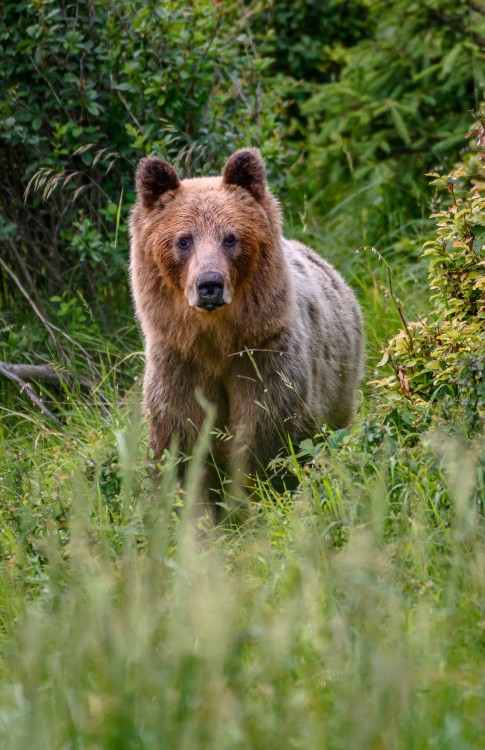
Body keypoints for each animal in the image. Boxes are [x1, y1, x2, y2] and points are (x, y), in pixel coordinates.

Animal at [129, 146, 364, 502]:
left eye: (230, 238)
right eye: (184, 240)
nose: (209, 284)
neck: (217, 341)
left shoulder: (264, 358)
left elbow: (269, 438)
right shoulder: (179, 365)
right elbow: (179, 445)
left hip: (339, 381)